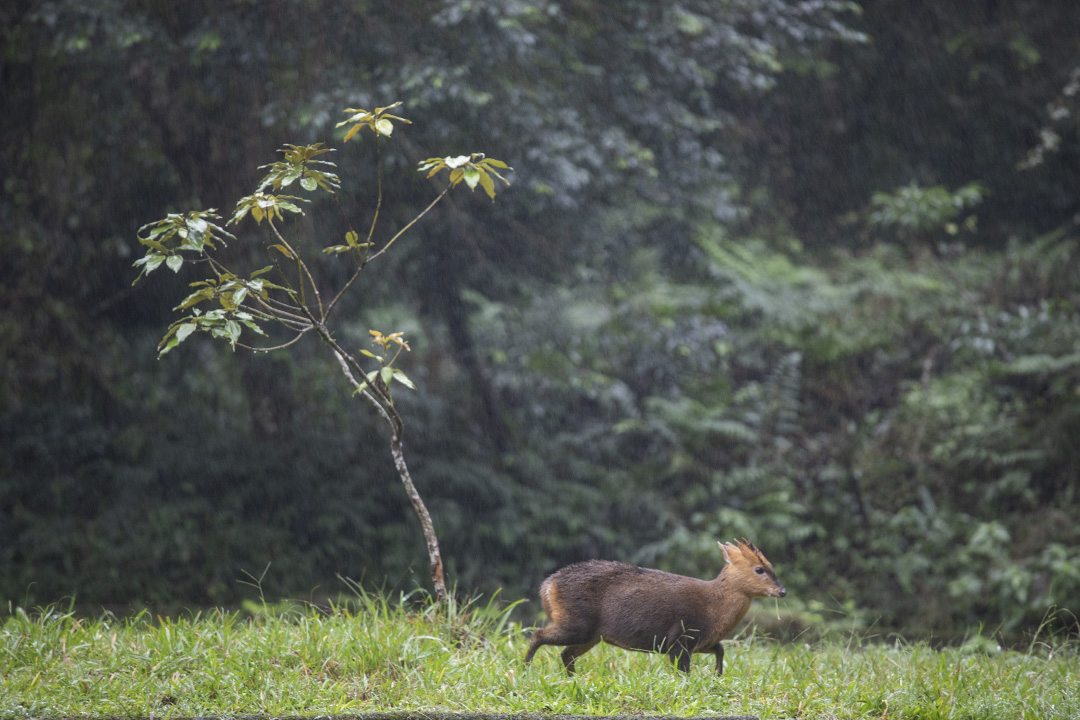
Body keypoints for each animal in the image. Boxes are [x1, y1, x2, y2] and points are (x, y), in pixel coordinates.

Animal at [522, 539, 786, 677]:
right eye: (759, 569)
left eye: (771, 566)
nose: (782, 591)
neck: (715, 608)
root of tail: (547, 586)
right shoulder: (680, 637)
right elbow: (683, 671)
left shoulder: (701, 641)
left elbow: (720, 649)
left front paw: (718, 675)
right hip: (577, 624)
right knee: (538, 635)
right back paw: (525, 670)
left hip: (591, 635)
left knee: (565, 653)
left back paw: (572, 678)